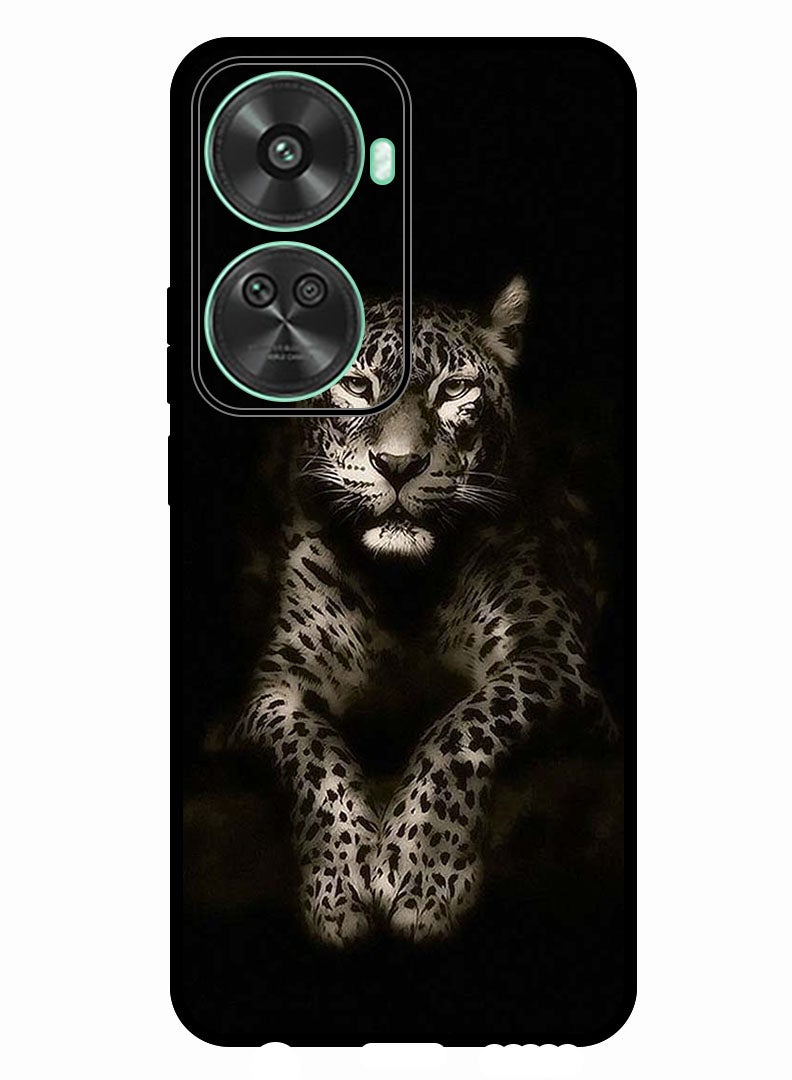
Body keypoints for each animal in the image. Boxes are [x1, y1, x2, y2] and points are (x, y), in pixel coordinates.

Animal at [229, 276, 617, 946]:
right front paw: (338, 884)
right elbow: (312, 753)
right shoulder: (274, 687)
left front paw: (421, 873)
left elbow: (462, 727)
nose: (399, 465)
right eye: (360, 386)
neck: (403, 588)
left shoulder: (552, 658)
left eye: (454, 389)